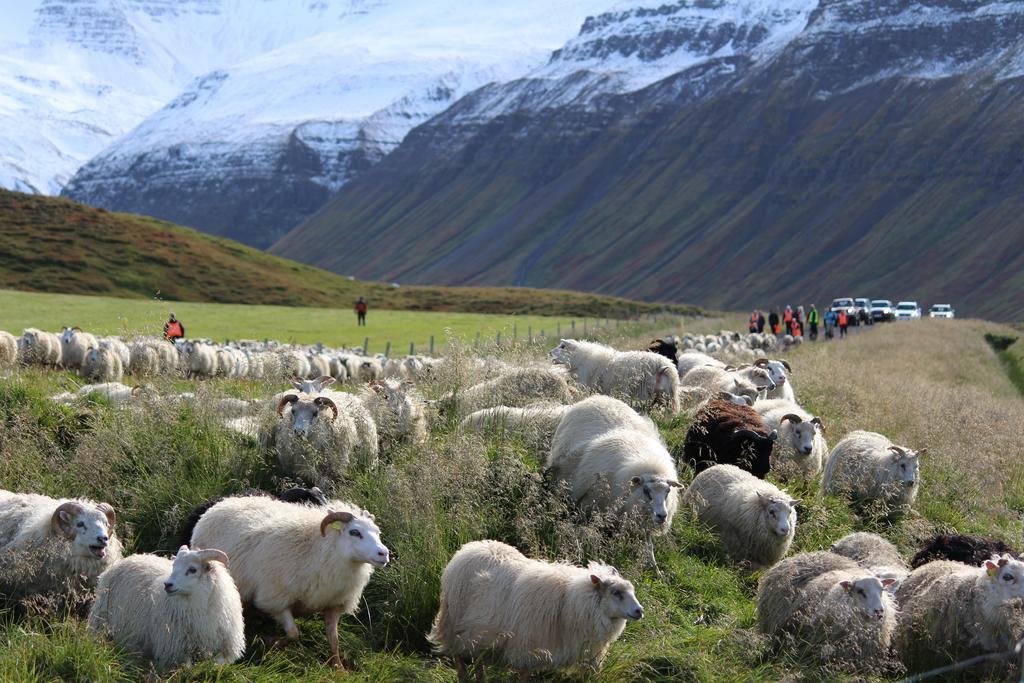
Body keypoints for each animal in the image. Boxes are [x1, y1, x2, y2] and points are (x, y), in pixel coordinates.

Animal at [85, 548, 241, 671]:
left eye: (193, 569)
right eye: (174, 566)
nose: (168, 585)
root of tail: (129, 558)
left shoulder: (225, 651)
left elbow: (217, 665)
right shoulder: (174, 653)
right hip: (101, 620)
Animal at [189, 497, 387, 667]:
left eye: (377, 533)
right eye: (355, 532)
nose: (384, 554)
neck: (323, 550)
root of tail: (225, 501)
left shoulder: (334, 604)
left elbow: (334, 640)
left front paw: (338, 666)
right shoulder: (275, 600)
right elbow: (293, 633)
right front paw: (271, 642)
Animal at [425, 540, 638, 679]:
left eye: (632, 590)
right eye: (616, 592)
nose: (639, 611)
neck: (571, 601)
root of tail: (469, 548)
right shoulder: (527, 650)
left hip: (478, 633)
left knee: (478, 662)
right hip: (453, 625)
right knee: (459, 659)